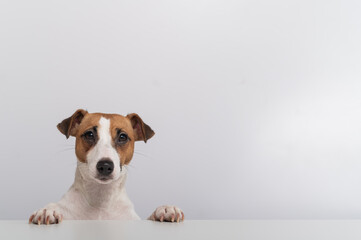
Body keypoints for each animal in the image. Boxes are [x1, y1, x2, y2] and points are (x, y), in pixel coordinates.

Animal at [29, 109, 184, 224]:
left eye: (122, 137)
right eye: (89, 134)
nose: (105, 166)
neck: (101, 201)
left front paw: (164, 210)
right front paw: (47, 211)